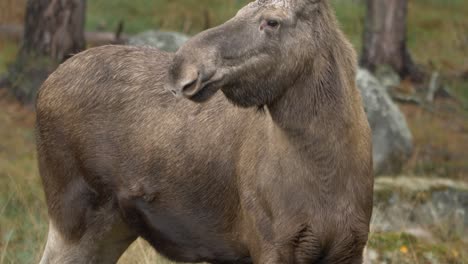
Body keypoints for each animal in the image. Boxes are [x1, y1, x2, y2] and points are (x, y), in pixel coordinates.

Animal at [35, 0, 372, 262]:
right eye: (239, 11)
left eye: (272, 21)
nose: (181, 66)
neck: (326, 170)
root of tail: (44, 87)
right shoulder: (269, 243)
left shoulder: (350, 246)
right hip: (72, 216)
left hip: (115, 225)